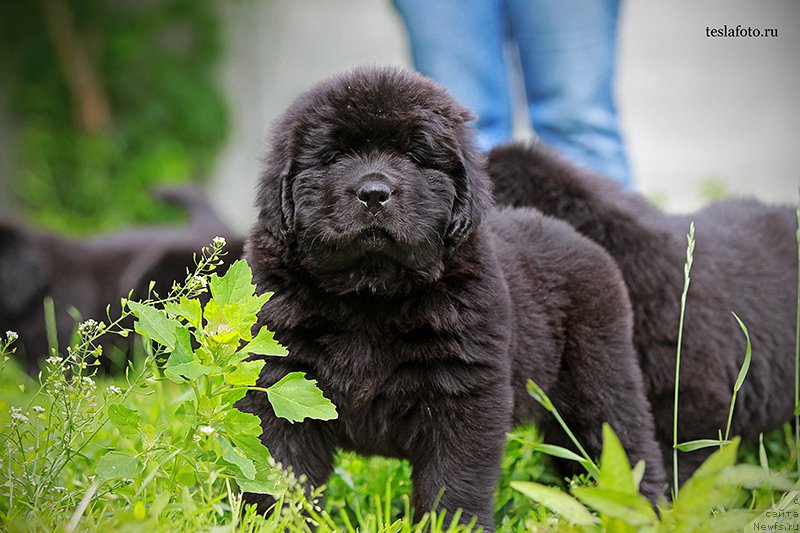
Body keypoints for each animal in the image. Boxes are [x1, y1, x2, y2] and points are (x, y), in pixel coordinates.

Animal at [239, 67, 668, 528]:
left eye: (413, 155)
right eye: (334, 156)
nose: (373, 193)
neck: (370, 292)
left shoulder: (465, 392)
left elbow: (455, 481)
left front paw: (455, 525)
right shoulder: (282, 381)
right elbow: (280, 470)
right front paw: (272, 522)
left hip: (600, 380)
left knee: (623, 446)